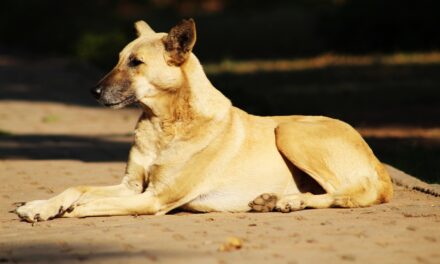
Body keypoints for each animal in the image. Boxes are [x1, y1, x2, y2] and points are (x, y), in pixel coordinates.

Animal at [14, 18, 392, 223]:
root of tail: (380, 164)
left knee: (349, 193)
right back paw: (274, 200)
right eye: (119, 59)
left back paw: (290, 201)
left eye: (136, 63)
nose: (93, 91)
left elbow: (89, 202)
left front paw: (65, 209)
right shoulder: (132, 186)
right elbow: (76, 188)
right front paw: (40, 206)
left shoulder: (153, 199)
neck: (165, 124)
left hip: (289, 130)